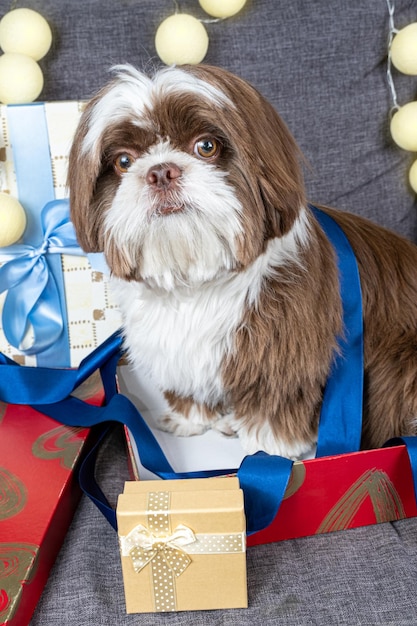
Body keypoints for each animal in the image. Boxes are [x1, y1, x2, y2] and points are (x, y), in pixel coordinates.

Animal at [68, 63, 417, 458]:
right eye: (123, 161)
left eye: (206, 146)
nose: (160, 172)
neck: (197, 281)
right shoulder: (176, 350)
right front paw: (191, 419)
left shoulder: (282, 356)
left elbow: (274, 404)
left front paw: (268, 449)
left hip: (399, 365)